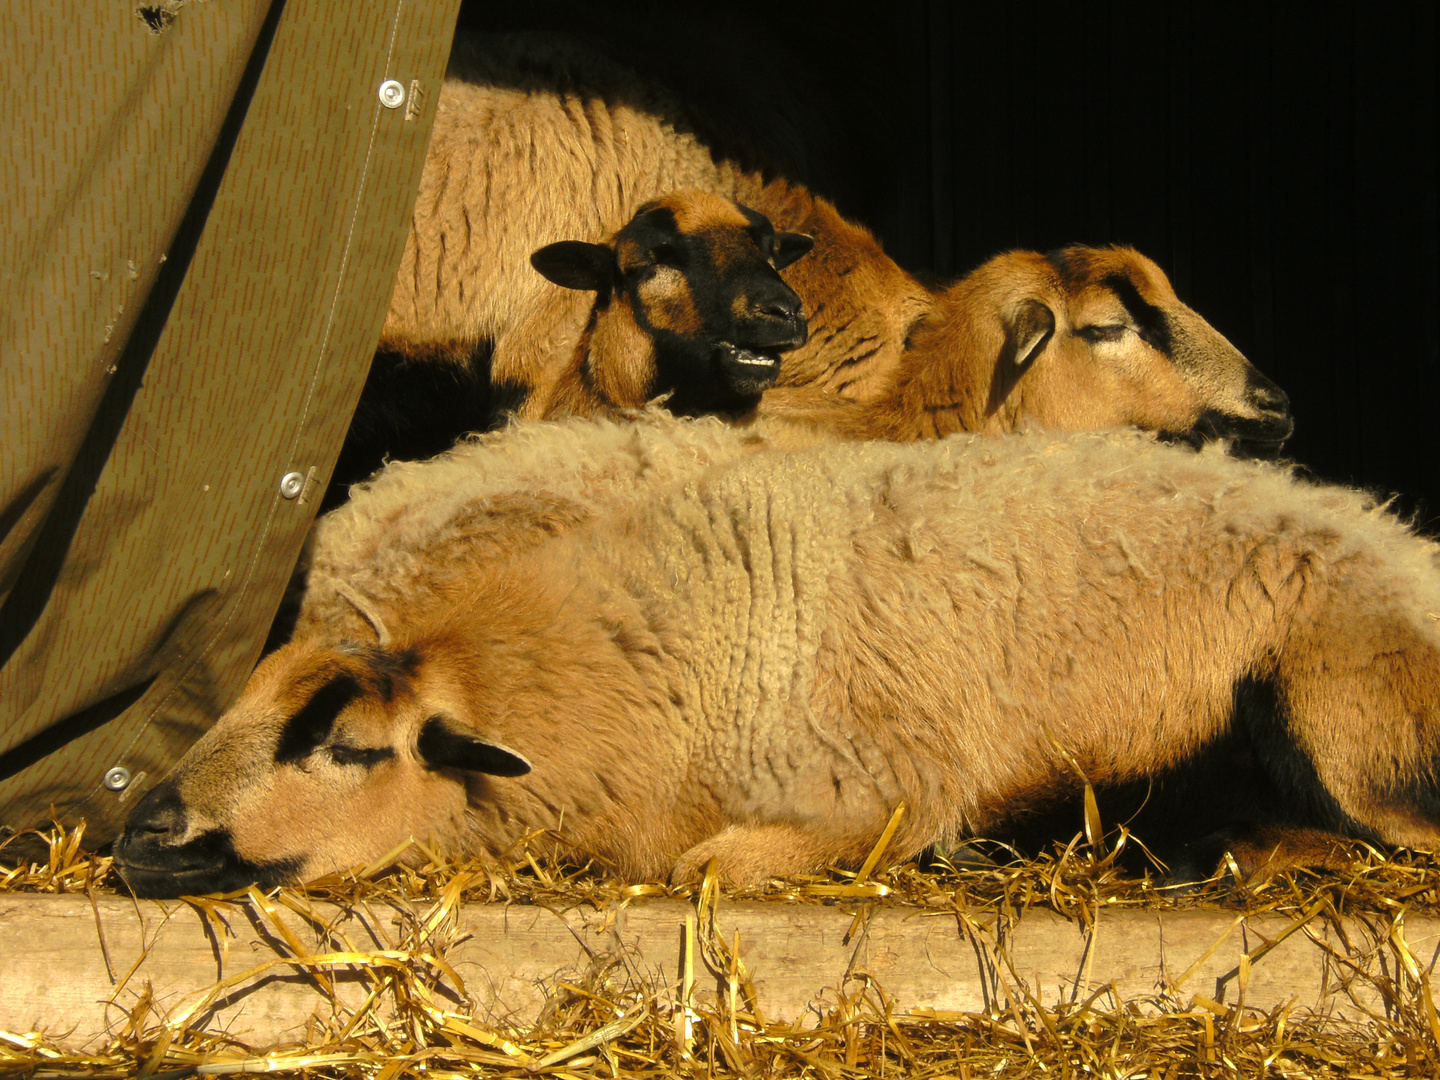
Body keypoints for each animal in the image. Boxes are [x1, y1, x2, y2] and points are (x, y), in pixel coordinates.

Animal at [115, 417, 1440, 898]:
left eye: (348, 748)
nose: (145, 832)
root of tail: (1399, 536)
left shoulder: (888, 791)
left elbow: (706, 866)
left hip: (1349, 710)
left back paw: (1226, 856)